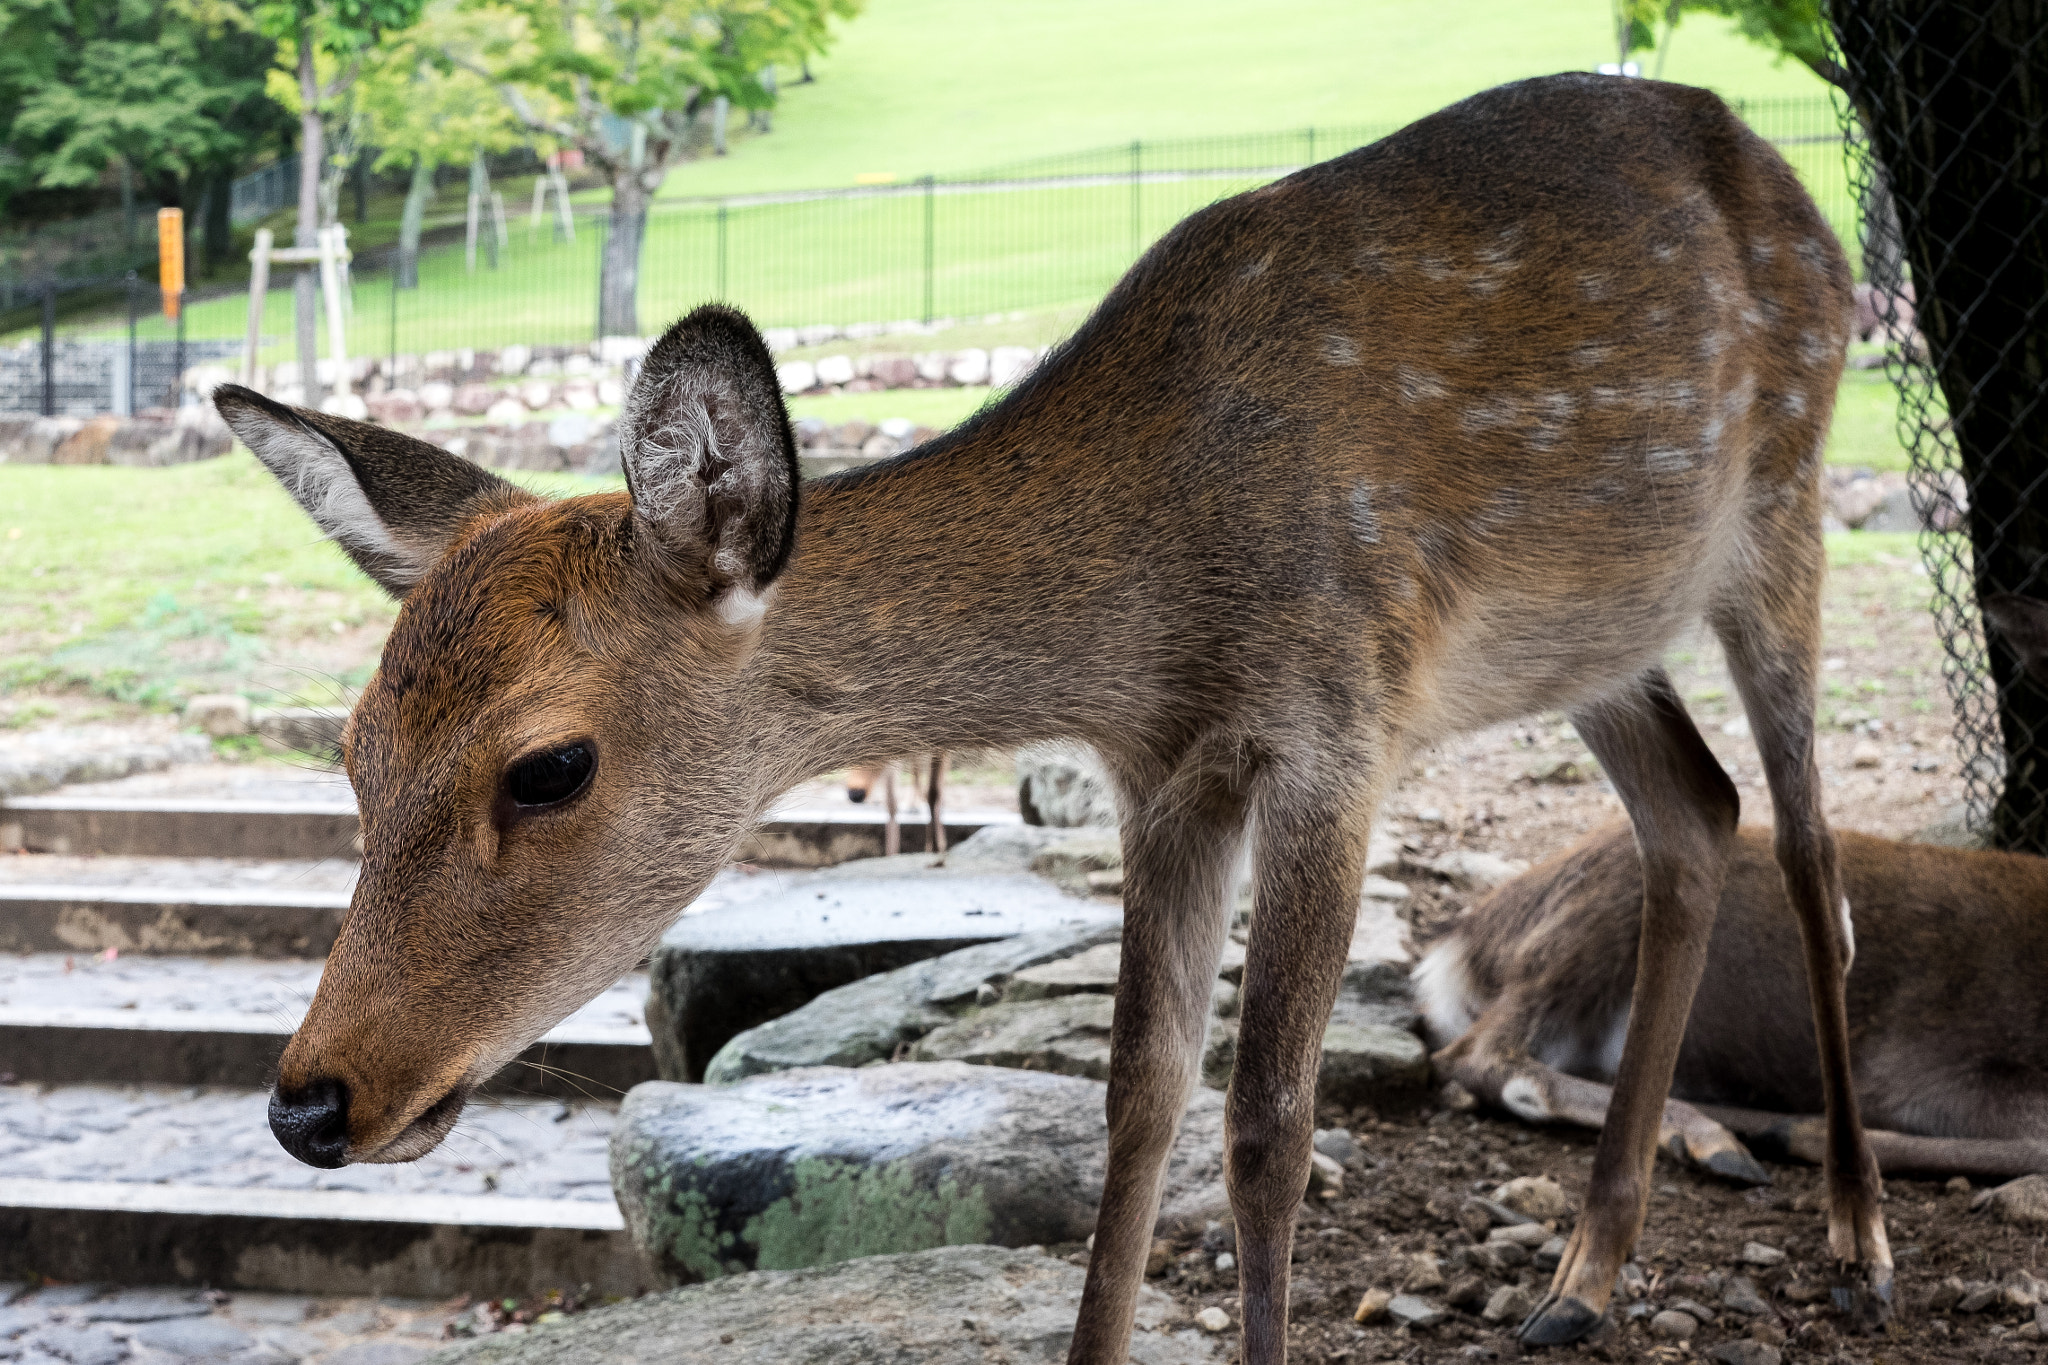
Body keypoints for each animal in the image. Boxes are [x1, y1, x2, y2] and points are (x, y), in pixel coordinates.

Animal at [211, 77, 1884, 1365]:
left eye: (549, 765)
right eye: (354, 754)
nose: (307, 1103)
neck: (1150, 613)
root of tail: (1792, 185)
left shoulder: (1338, 717)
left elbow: (1266, 1119)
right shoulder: (1168, 771)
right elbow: (1136, 1099)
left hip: (1785, 502)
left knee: (1808, 846)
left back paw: (1857, 1242)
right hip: (1593, 634)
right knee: (1694, 812)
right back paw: (1580, 1283)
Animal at [1433, 822, 2048, 1186]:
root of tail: (1465, 942)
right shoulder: (1912, 1065)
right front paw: (1805, 1136)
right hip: (1595, 927)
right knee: (1473, 1054)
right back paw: (1717, 1138)